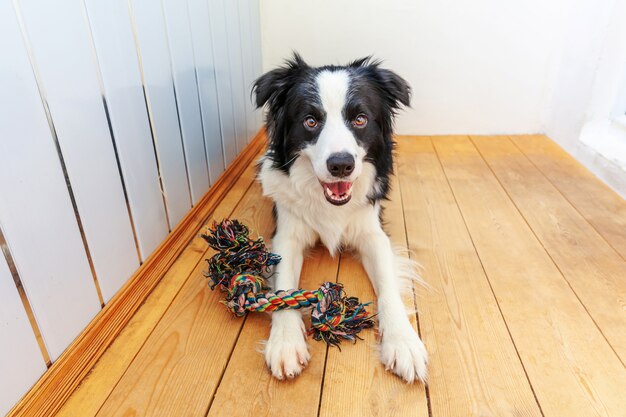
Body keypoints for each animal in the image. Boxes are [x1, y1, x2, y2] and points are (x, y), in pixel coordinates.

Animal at [251, 53, 426, 382]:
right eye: (310, 121)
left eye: (360, 119)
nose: (341, 165)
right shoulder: (286, 234)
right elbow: (284, 285)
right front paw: (285, 343)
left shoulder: (373, 233)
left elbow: (388, 286)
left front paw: (403, 342)